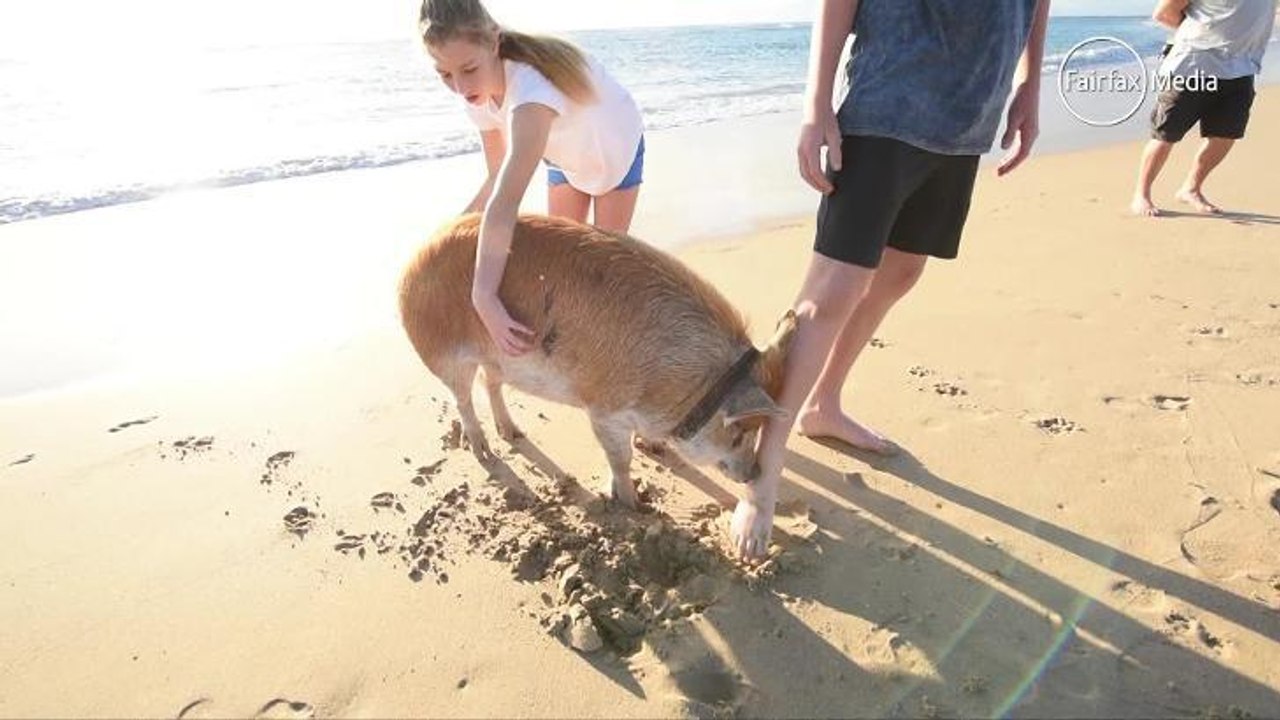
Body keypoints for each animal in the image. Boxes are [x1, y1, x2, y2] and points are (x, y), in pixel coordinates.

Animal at [398, 214, 795, 508]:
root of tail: (416, 254)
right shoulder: (605, 408)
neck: (684, 382)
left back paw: (513, 432)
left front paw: (654, 453)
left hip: (500, 355)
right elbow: (620, 459)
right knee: (462, 398)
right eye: (739, 433)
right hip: (445, 354)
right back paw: (484, 451)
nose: (755, 474)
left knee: (490, 383)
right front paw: (634, 506)